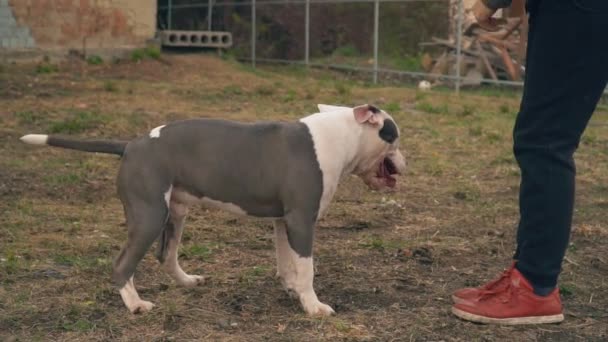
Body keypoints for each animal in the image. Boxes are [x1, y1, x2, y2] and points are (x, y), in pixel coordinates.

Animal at [21, 103, 406, 316]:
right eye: (395, 136)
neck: (340, 138)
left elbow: (288, 265)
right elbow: (307, 268)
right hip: (149, 216)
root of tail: (130, 145)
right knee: (122, 265)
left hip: (175, 213)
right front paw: (314, 307)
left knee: (166, 255)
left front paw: (293, 291)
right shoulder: (301, 221)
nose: (408, 161)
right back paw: (135, 305)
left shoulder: (284, 222)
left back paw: (187, 281)